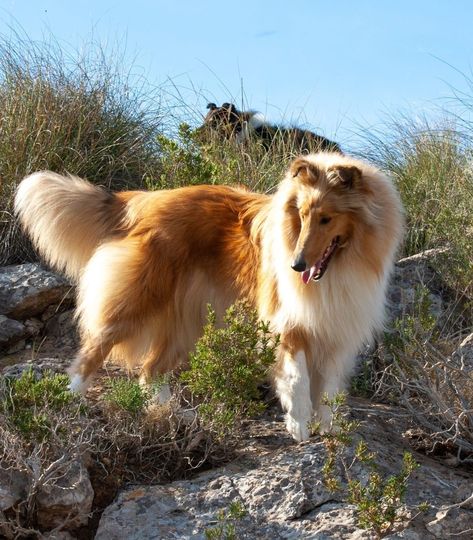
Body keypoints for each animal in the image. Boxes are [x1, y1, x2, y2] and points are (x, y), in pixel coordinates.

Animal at [14, 153, 400, 442]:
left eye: (326, 218)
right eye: (302, 215)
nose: (296, 265)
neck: (339, 266)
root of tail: (143, 200)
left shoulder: (336, 331)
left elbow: (330, 389)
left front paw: (329, 428)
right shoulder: (287, 324)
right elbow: (298, 379)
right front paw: (300, 427)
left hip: (188, 320)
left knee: (150, 371)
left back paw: (172, 414)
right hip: (138, 301)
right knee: (95, 350)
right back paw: (69, 399)